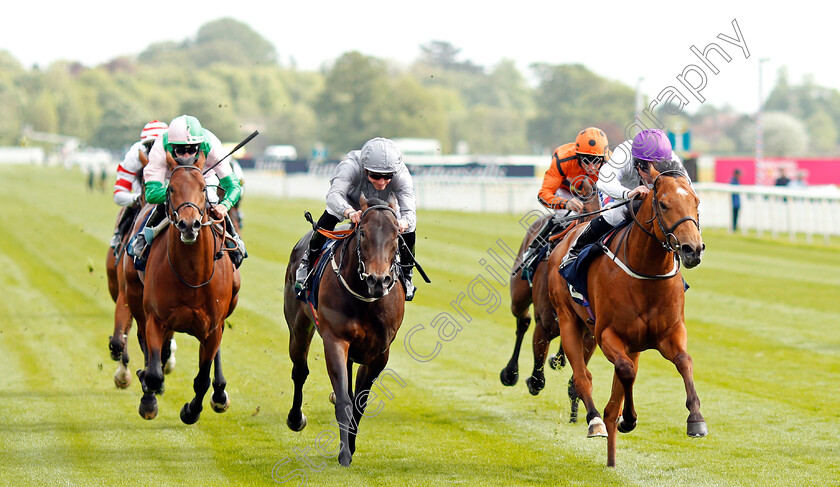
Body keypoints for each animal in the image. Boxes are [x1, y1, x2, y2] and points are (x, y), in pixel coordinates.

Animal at [131, 152, 241, 424]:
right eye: (171, 188)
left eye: (203, 188)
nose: (189, 225)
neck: (191, 276)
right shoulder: (156, 319)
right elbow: (154, 372)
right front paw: (148, 400)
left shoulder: (212, 327)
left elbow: (201, 379)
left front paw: (191, 411)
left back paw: (219, 394)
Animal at [284, 193, 406, 468]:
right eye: (363, 233)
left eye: (396, 234)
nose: (378, 280)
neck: (365, 299)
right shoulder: (335, 340)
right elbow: (343, 399)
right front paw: (344, 454)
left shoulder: (379, 353)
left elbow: (359, 401)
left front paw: (350, 444)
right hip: (298, 327)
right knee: (299, 370)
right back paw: (296, 418)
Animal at [548, 161, 704, 468]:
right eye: (664, 204)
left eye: (696, 202)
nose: (693, 249)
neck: (647, 272)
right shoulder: (608, 334)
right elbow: (625, 371)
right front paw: (628, 420)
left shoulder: (670, 333)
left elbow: (684, 361)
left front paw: (696, 419)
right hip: (570, 320)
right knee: (583, 377)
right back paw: (595, 421)